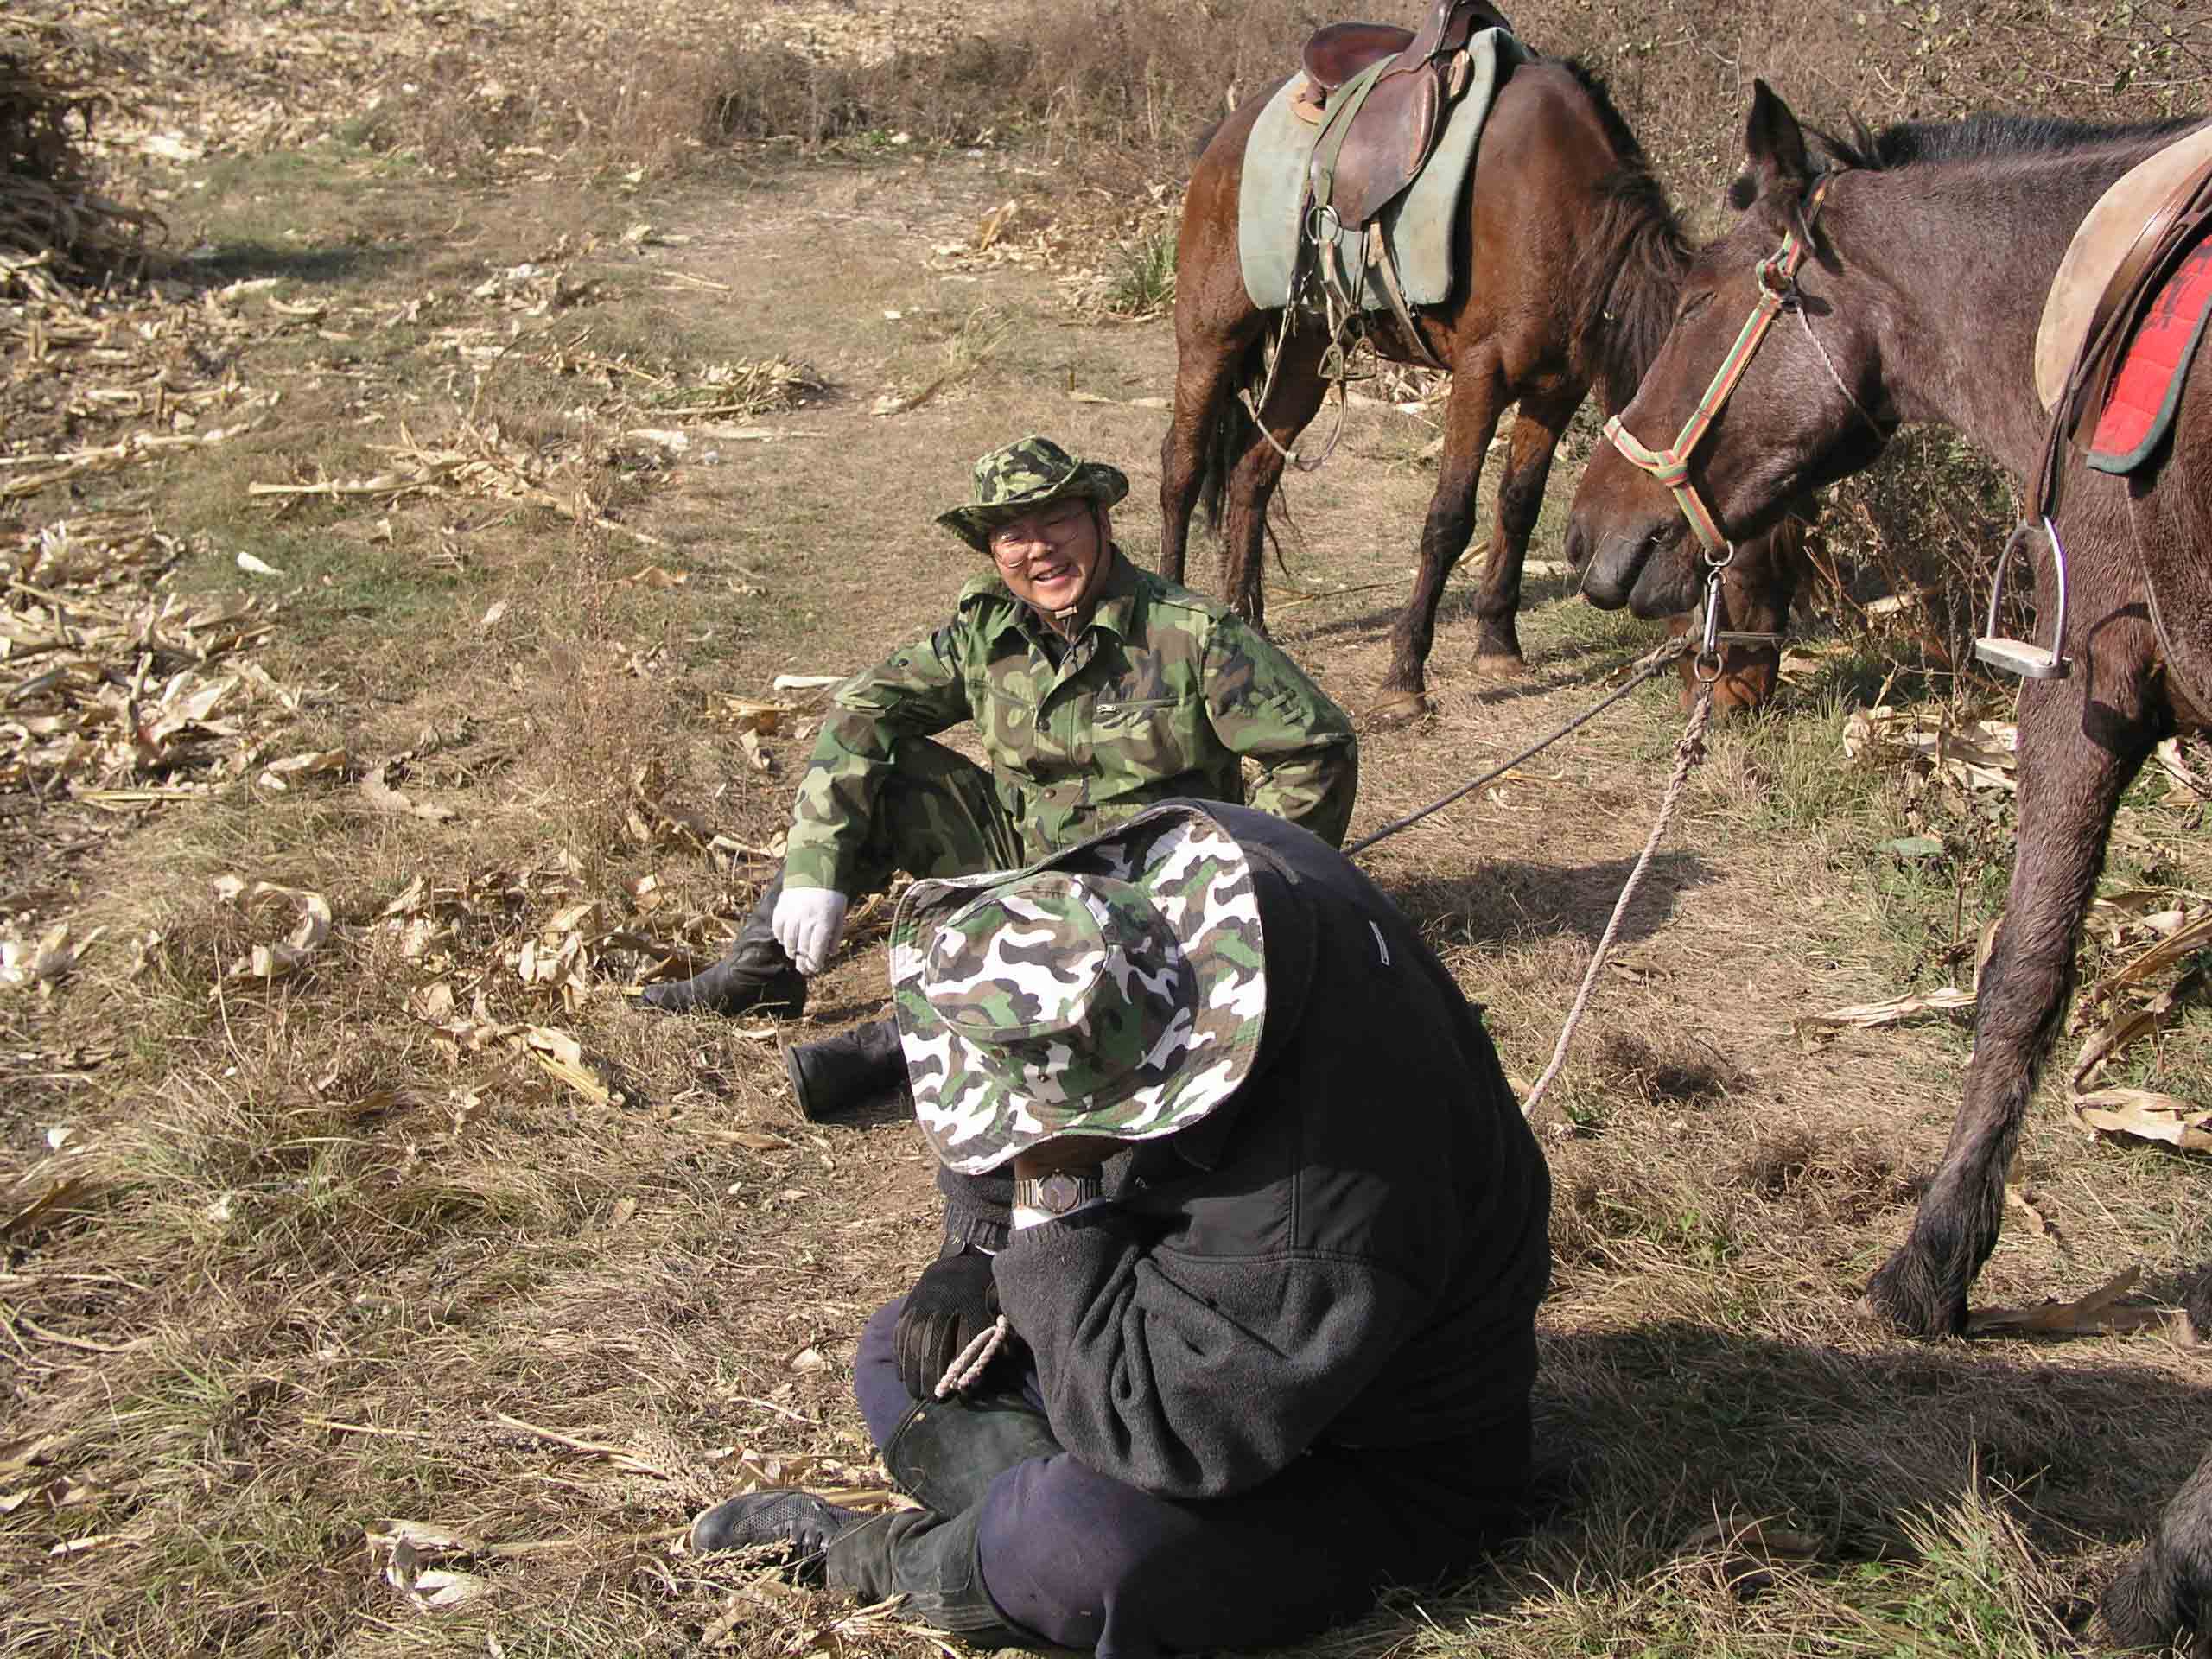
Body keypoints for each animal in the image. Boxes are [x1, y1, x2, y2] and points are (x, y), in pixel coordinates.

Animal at [1159, 50, 1796, 716]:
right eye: (1735, 568)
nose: (1748, 697)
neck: (1564, 212)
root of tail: (1226, 133)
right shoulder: (1479, 377)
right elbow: (1448, 520)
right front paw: (1405, 674)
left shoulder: (1556, 389)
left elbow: (1518, 506)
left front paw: (1497, 641)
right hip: (1210, 338)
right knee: (1182, 467)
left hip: (1306, 350)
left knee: (1252, 473)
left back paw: (1248, 618)